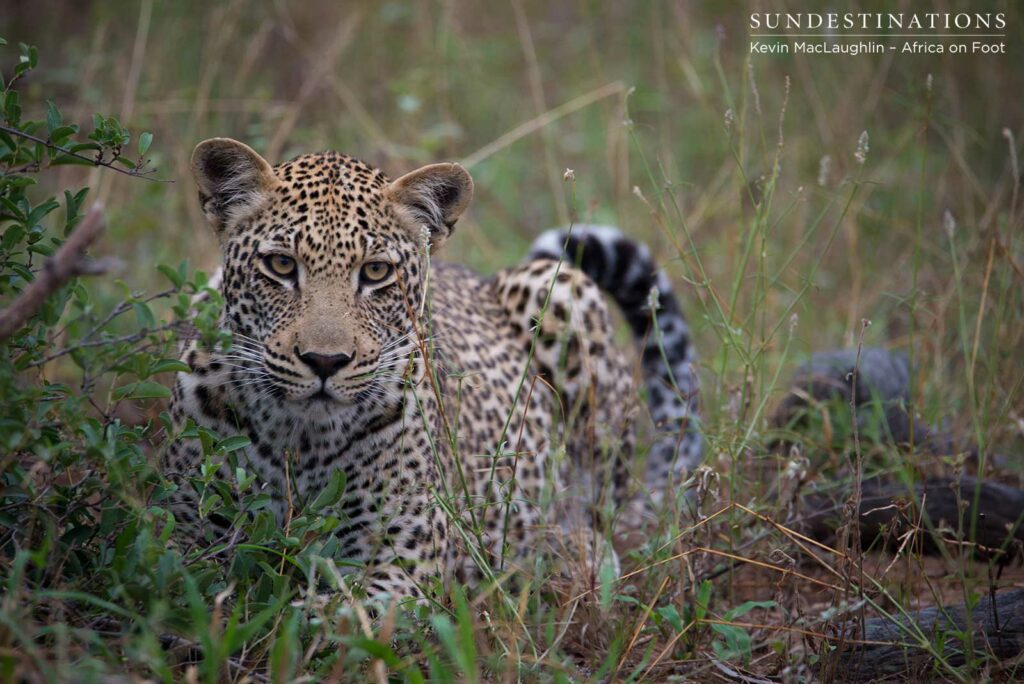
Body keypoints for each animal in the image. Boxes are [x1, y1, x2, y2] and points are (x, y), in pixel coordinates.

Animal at [161, 138, 701, 601]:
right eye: (279, 265)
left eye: (376, 272)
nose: (325, 361)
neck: (301, 441)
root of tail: (483, 278)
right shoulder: (182, 536)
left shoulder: (404, 566)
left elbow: (328, 621)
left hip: (564, 292)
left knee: (598, 513)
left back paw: (568, 557)